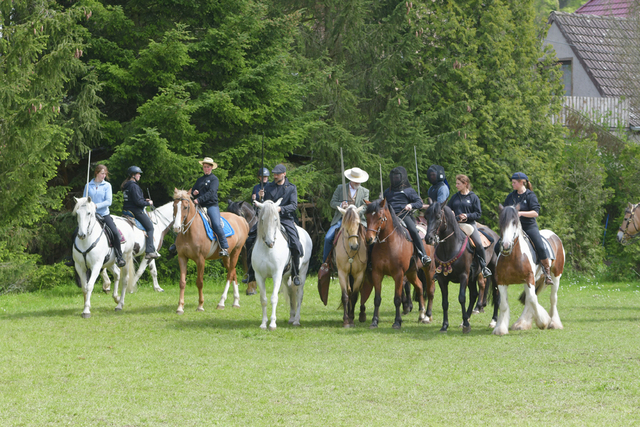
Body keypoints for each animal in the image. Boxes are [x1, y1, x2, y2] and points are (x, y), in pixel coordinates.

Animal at [251, 200, 312, 332]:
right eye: (262, 219)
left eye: (275, 219)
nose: (270, 242)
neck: (267, 250)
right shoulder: (259, 276)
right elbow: (263, 299)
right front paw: (263, 324)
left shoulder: (277, 275)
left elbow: (274, 298)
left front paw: (272, 324)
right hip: (286, 276)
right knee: (290, 292)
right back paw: (292, 318)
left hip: (302, 272)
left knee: (299, 294)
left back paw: (296, 320)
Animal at [360, 199, 436, 330]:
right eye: (367, 216)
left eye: (380, 217)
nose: (369, 239)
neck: (388, 244)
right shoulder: (377, 274)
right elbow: (377, 299)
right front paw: (374, 321)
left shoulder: (398, 275)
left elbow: (397, 299)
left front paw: (397, 322)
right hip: (411, 273)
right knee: (420, 287)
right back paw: (421, 315)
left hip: (429, 269)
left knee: (430, 290)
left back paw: (428, 316)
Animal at [424, 201, 500, 334]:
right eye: (426, 216)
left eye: (438, 217)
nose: (429, 238)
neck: (451, 247)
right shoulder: (442, 279)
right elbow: (445, 302)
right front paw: (445, 326)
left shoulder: (463, 276)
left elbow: (461, 298)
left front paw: (466, 325)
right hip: (472, 277)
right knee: (474, 295)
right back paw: (466, 319)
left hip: (492, 274)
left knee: (495, 295)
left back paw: (493, 321)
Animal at [496, 206, 564, 336]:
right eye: (501, 222)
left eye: (515, 222)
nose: (506, 246)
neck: (513, 256)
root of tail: (554, 235)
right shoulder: (502, 282)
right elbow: (503, 304)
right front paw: (500, 328)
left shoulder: (529, 279)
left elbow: (533, 299)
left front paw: (543, 322)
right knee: (529, 298)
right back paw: (521, 324)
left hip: (556, 275)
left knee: (553, 298)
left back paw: (554, 323)